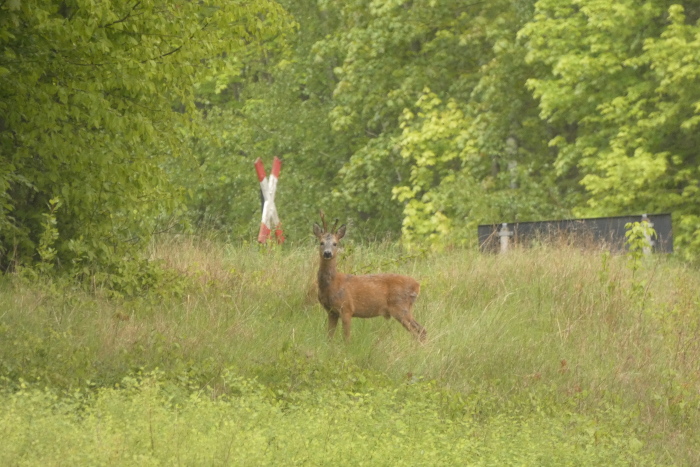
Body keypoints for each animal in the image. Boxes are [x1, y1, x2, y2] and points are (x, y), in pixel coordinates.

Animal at [313, 211, 426, 343]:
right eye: (321, 242)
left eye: (335, 244)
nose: (327, 253)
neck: (332, 284)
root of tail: (417, 285)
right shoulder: (331, 312)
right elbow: (329, 337)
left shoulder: (346, 308)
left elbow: (347, 337)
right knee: (421, 330)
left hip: (401, 307)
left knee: (420, 330)